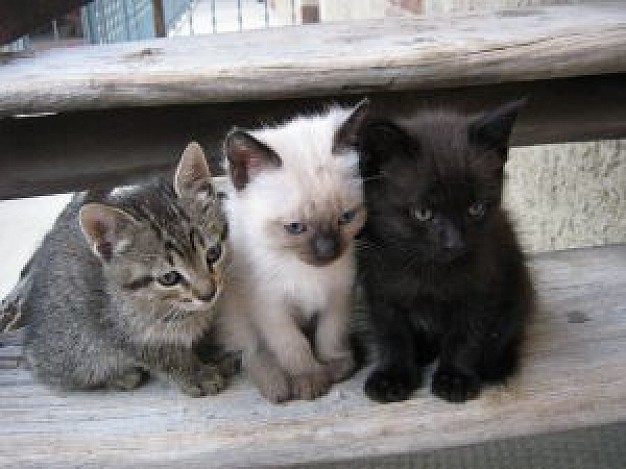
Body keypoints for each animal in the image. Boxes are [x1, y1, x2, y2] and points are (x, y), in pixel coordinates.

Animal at [24, 143, 230, 394]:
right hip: (76, 351)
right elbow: (165, 354)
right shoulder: (119, 331)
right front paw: (196, 374)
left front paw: (214, 352)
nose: (209, 294)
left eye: (213, 253)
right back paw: (120, 377)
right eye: (169, 278)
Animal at [217, 100, 368, 400]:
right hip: (233, 310)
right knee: (251, 350)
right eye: (295, 227)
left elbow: (329, 333)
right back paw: (276, 387)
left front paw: (335, 365)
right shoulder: (270, 306)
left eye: (346, 218)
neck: (302, 269)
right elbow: (293, 345)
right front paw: (309, 379)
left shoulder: (339, 294)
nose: (328, 252)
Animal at [356, 101, 532, 402]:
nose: (455, 243)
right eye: (422, 213)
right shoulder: (379, 287)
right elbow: (391, 333)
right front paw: (392, 376)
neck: (429, 271)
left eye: (475, 208)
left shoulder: (482, 286)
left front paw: (455, 378)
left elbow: (466, 334)